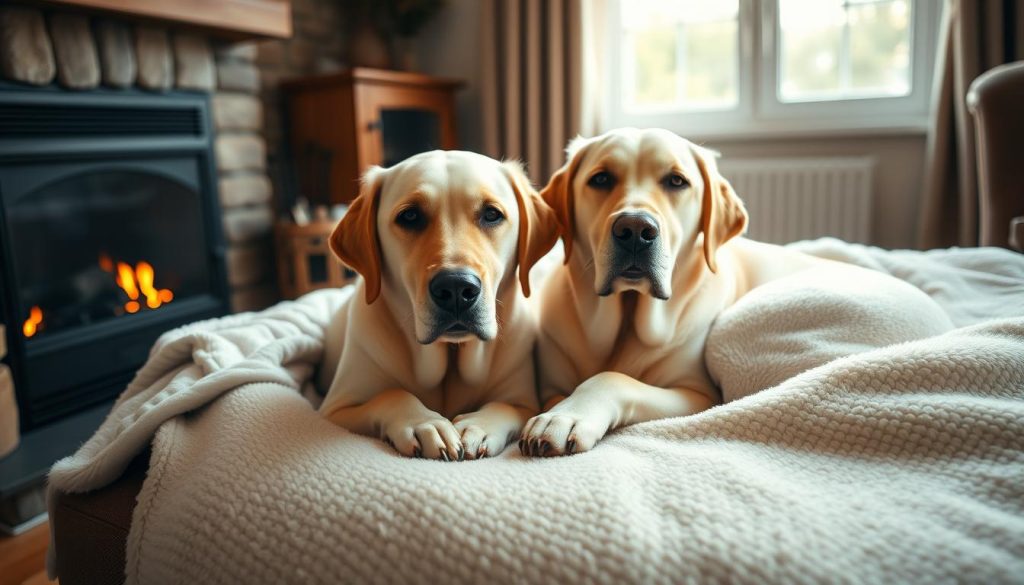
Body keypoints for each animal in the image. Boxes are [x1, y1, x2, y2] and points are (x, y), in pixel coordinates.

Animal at [319, 150, 561, 463]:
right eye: (410, 216)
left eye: (491, 214)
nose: (456, 288)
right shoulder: (335, 409)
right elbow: (392, 394)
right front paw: (424, 424)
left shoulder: (523, 401)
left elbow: (503, 406)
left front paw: (478, 426)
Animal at [520, 128, 831, 456]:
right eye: (601, 179)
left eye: (677, 181)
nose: (635, 230)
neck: (627, 319)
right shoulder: (550, 388)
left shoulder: (698, 394)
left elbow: (614, 379)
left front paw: (566, 415)